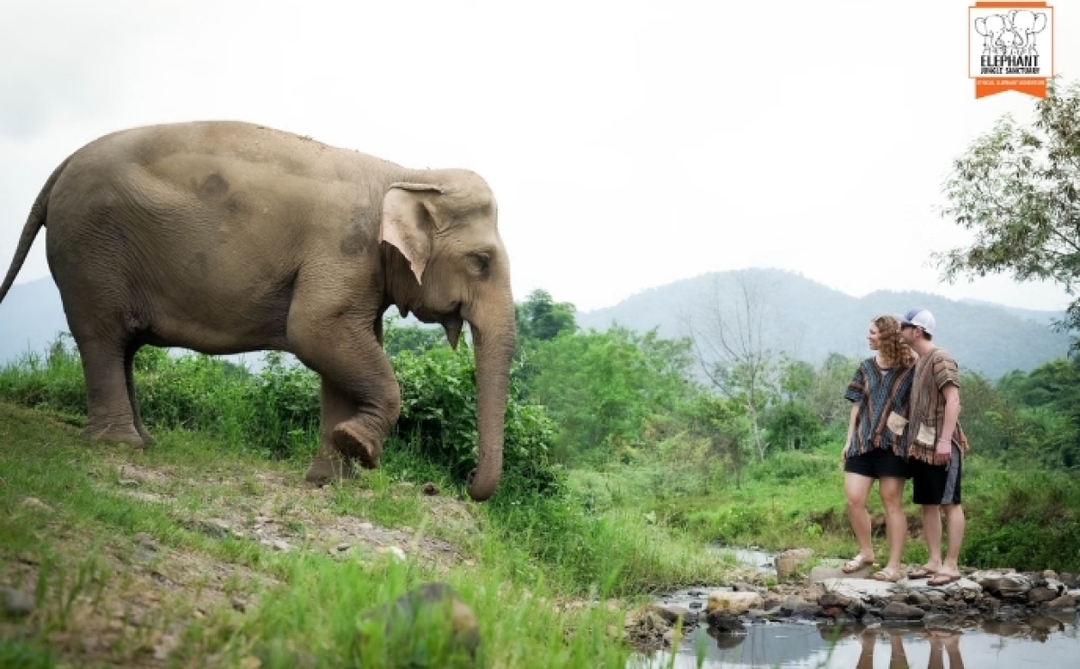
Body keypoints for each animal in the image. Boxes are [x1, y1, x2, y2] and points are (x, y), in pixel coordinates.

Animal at [0, 121, 515, 501]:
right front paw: (357, 448)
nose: (463, 483)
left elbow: (341, 351)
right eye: (481, 261)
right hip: (91, 248)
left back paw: (142, 442)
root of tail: (62, 165)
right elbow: (315, 331)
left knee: (121, 343)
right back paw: (119, 445)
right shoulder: (342, 250)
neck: (406, 172)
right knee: (103, 336)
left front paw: (330, 479)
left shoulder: (359, 271)